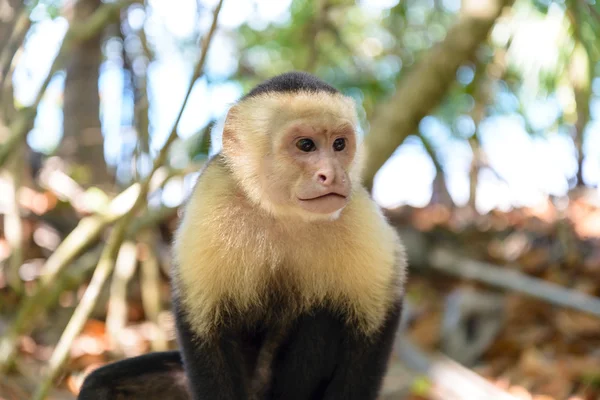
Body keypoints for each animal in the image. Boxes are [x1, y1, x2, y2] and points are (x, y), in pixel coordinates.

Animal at [78, 72, 408, 400]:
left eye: (339, 144)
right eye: (306, 145)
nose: (333, 175)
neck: (282, 214)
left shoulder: (357, 212)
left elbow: (380, 314)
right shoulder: (213, 194)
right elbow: (202, 324)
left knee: (324, 314)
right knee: (100, 385)